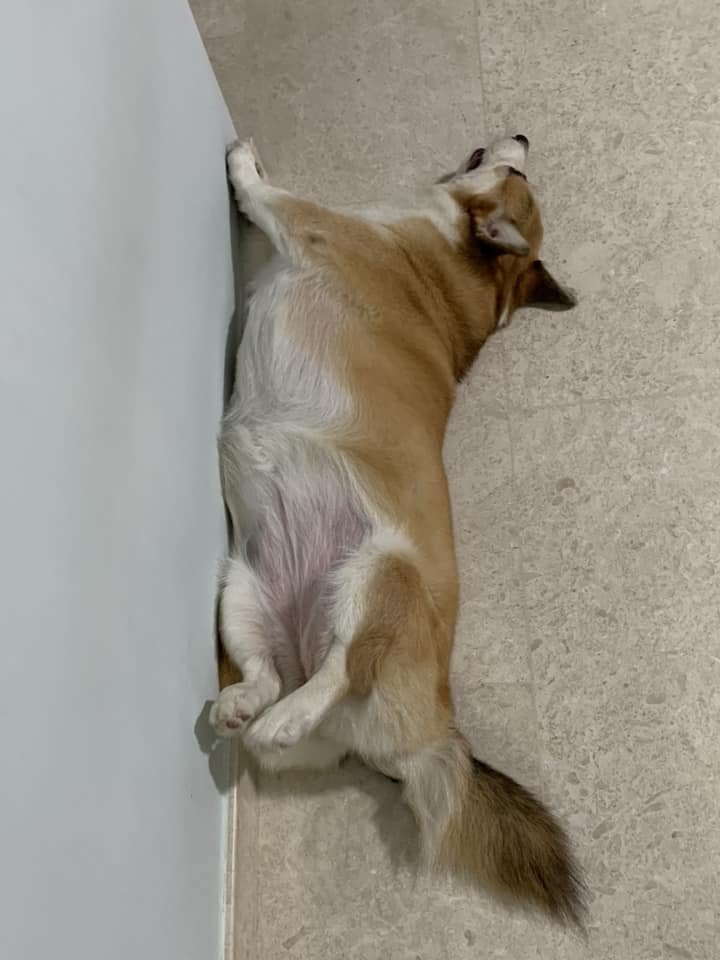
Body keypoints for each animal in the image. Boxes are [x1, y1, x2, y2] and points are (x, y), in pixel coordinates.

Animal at [211, 135, 584, 924]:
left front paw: (245, 168)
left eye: (516, 171)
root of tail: (435, 731)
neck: (449, 259)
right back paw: (249, 705)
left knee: (345, 665)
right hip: (241, 591)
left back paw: (285, 713)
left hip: (376, 575)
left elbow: (270, 197)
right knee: (272, 676)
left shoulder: (313, 224)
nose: (521, 138)